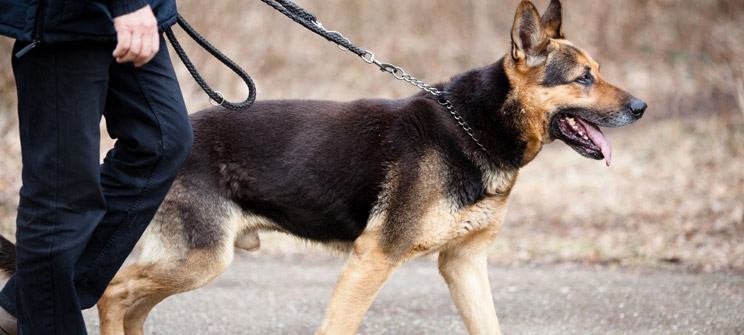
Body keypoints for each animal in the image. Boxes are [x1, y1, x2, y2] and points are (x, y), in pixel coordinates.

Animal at [1, 0, 644, 335]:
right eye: (584, 78)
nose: (641, 107)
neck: (475, 126)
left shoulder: (464, 266)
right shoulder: (372, 258)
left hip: (194, 261)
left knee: (128, 299)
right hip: (203, 258)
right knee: (112, 291)